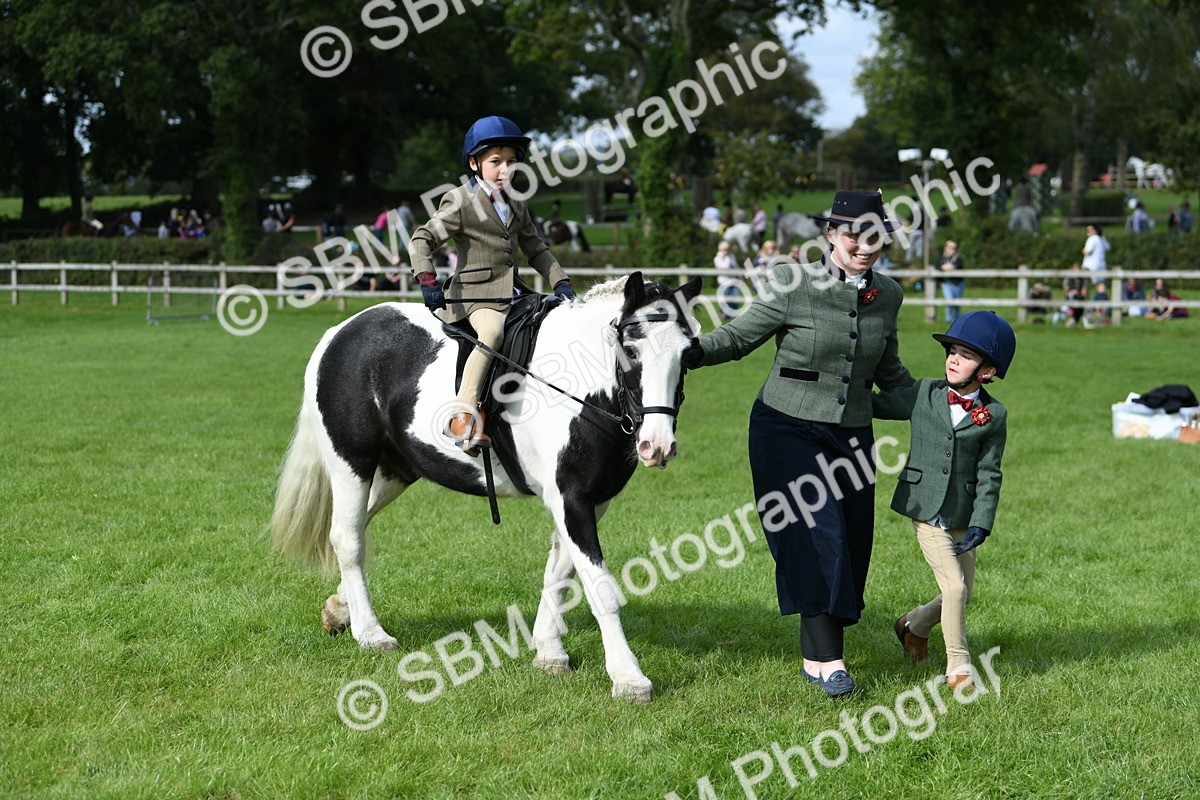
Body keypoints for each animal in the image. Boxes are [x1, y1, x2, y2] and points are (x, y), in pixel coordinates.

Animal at [270, 272, 703, 703]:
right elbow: (601, 589)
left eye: (687, 354)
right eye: (631, 349)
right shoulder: (572, 499)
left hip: (395, 471)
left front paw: (549, 651)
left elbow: (559, 574)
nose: (657, 445)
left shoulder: (590, 503)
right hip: (352, 463)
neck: (580, 390)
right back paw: (371, 634)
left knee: (352, 527)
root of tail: (340, 333)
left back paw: (340, 609)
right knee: (347, 539)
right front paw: (629, 677)